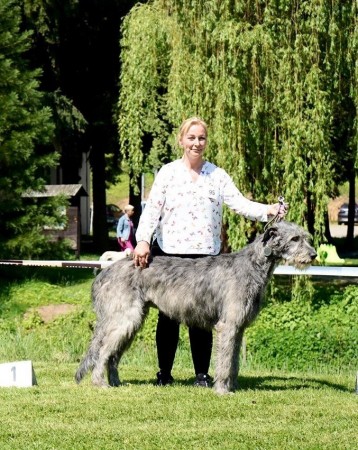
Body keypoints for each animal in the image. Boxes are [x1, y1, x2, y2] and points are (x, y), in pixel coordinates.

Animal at [75, 221, 316, 394]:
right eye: (295, 238)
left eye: (307, 237)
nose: (313, 255)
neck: (252, 266)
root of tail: (104, 272)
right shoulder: (228, 325)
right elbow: (224, 360)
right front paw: (222, 390)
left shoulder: (238, 328)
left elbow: (234, 361)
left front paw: (233, 386)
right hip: (124, 319)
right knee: (104, 352)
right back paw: (100, 383)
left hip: (131, 322)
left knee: (113, 355)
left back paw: (116, 382)